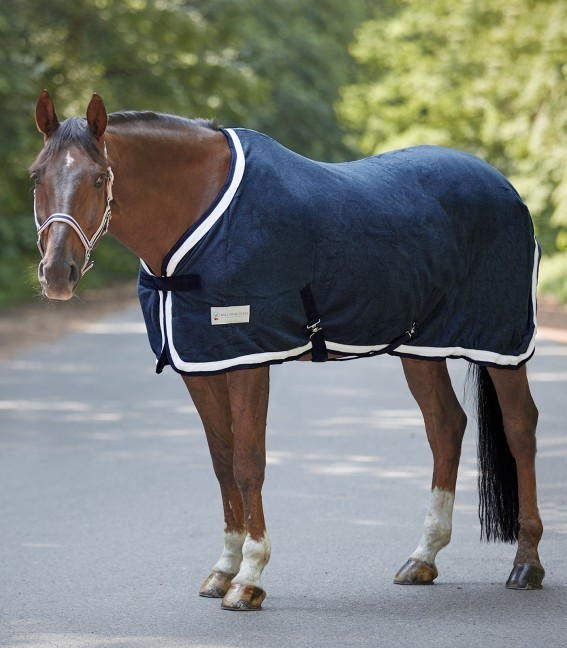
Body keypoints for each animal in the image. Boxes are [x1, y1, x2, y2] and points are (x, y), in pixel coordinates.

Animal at [31, 90, 544, 611]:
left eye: (99, 177)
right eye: (37, 175)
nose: (57, 274)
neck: (200, 214)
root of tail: (504, 186)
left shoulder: (248, 359)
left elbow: (247, 464)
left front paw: (249, 579)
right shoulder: (200, 364)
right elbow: (222, 462)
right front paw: (223, 569)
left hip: (502, 341)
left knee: (520, 427)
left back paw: (526, 563)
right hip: (420, 347)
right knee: (445, 426)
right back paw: (423, 558)